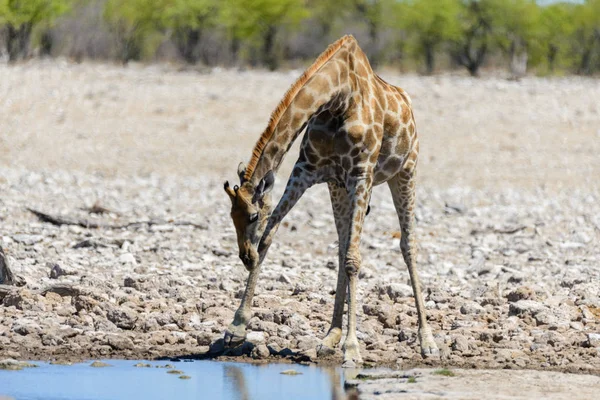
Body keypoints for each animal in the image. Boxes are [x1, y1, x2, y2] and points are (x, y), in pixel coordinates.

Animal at [223, 35, 438, 366]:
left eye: (253, 216)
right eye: (232, 217)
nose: (245, 257)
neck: (339, 97)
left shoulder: (361, 174)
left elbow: (354, 259)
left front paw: (353, 348)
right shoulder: (307, 170)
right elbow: (270, 239)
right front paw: (237, 326)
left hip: (405, 172)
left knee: (407, 245)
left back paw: (427, 341)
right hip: (338, 187)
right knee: (342, 244)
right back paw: (329, 337)